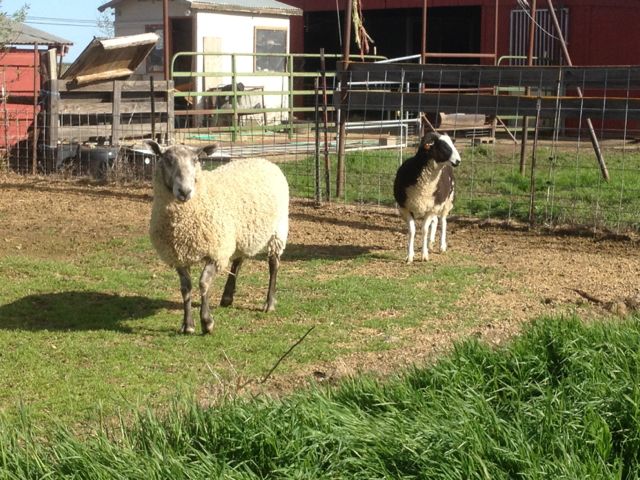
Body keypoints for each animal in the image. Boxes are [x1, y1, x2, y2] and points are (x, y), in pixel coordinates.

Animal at [146, 140, 289, 334]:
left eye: (196, 160)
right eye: (167, 159)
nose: (185, 191)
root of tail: (263, 160)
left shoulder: (216, 252)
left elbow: (204, 283)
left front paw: (207, 322)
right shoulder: (178, 255)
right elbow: (186, 288)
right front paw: (188, 325)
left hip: (278, 228)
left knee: (273, 264)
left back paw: (269, 303)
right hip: (241, 235)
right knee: (238, 261)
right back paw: (227, 297)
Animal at [393, 132, 461, 263]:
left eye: (451, 144)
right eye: (444, 147)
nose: (458, 161)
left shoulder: (431, 208)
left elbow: (424, 230)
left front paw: (424, 255)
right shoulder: (405, 208)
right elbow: (412, 231)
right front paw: (410, 256)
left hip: (446, 202)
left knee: (443, 222)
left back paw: (441, 246)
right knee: (435, 222)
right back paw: (431, 243)